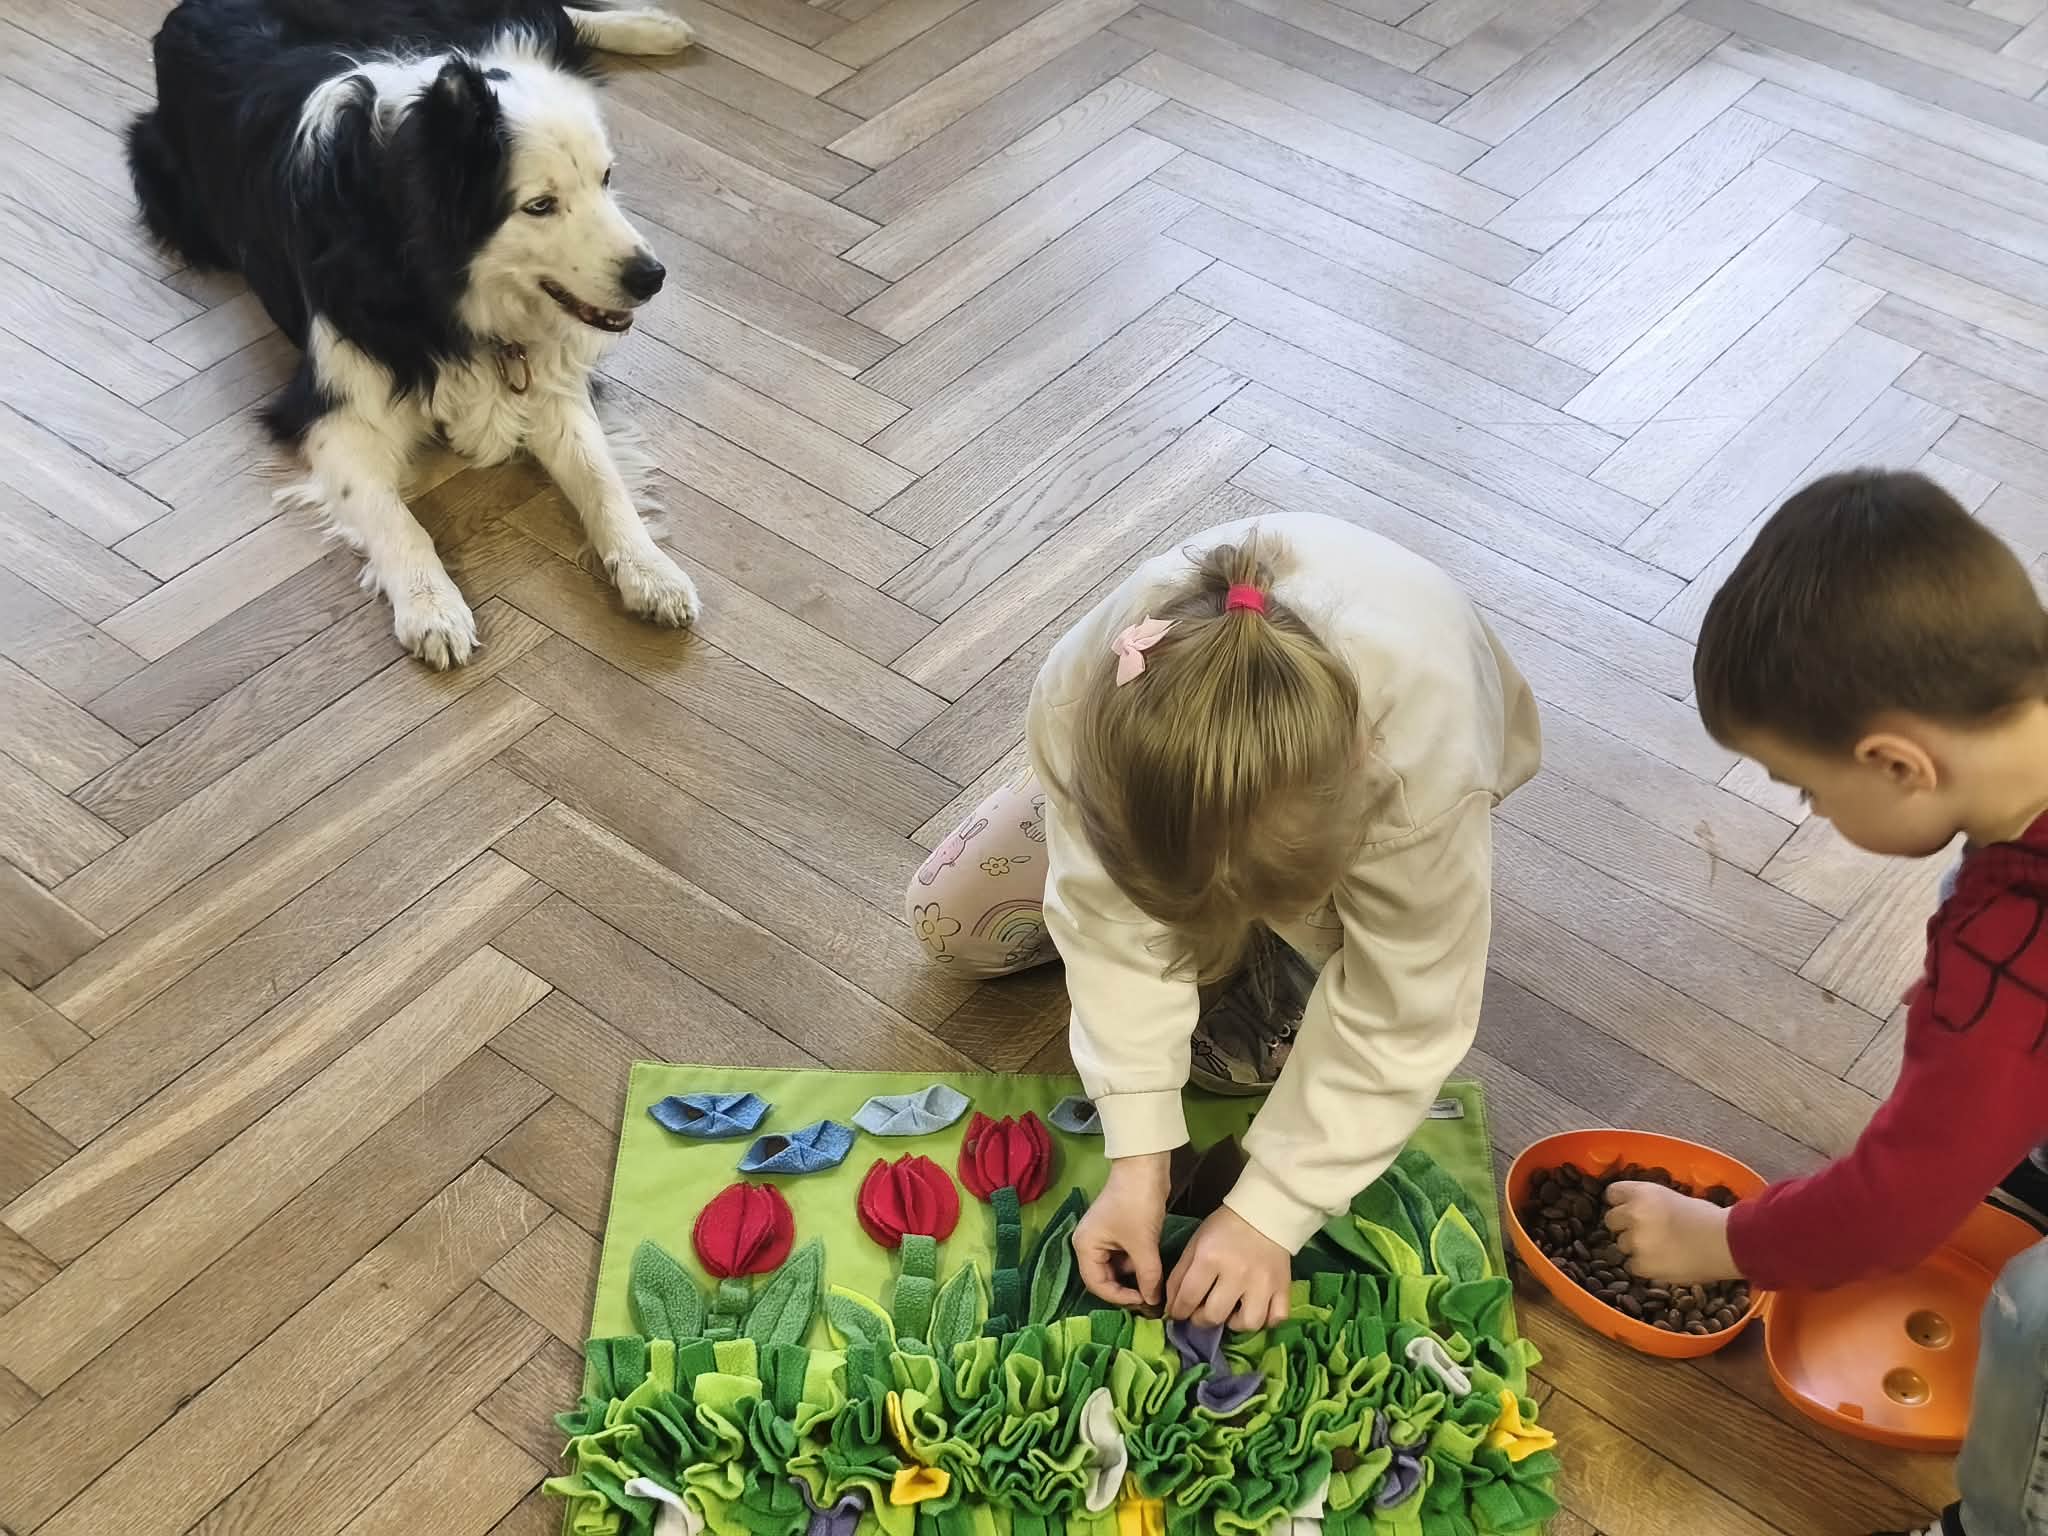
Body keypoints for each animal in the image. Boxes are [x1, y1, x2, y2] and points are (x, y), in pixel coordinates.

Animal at [129, 0, 701, 666]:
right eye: (539, 206)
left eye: (607, 178)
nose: (652, 277)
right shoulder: (334, 409)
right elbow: (392, 514)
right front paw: (433, 608)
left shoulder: (552, 377)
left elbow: (599, 474)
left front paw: (652, 572)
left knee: (548, 17)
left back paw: (655, 28)